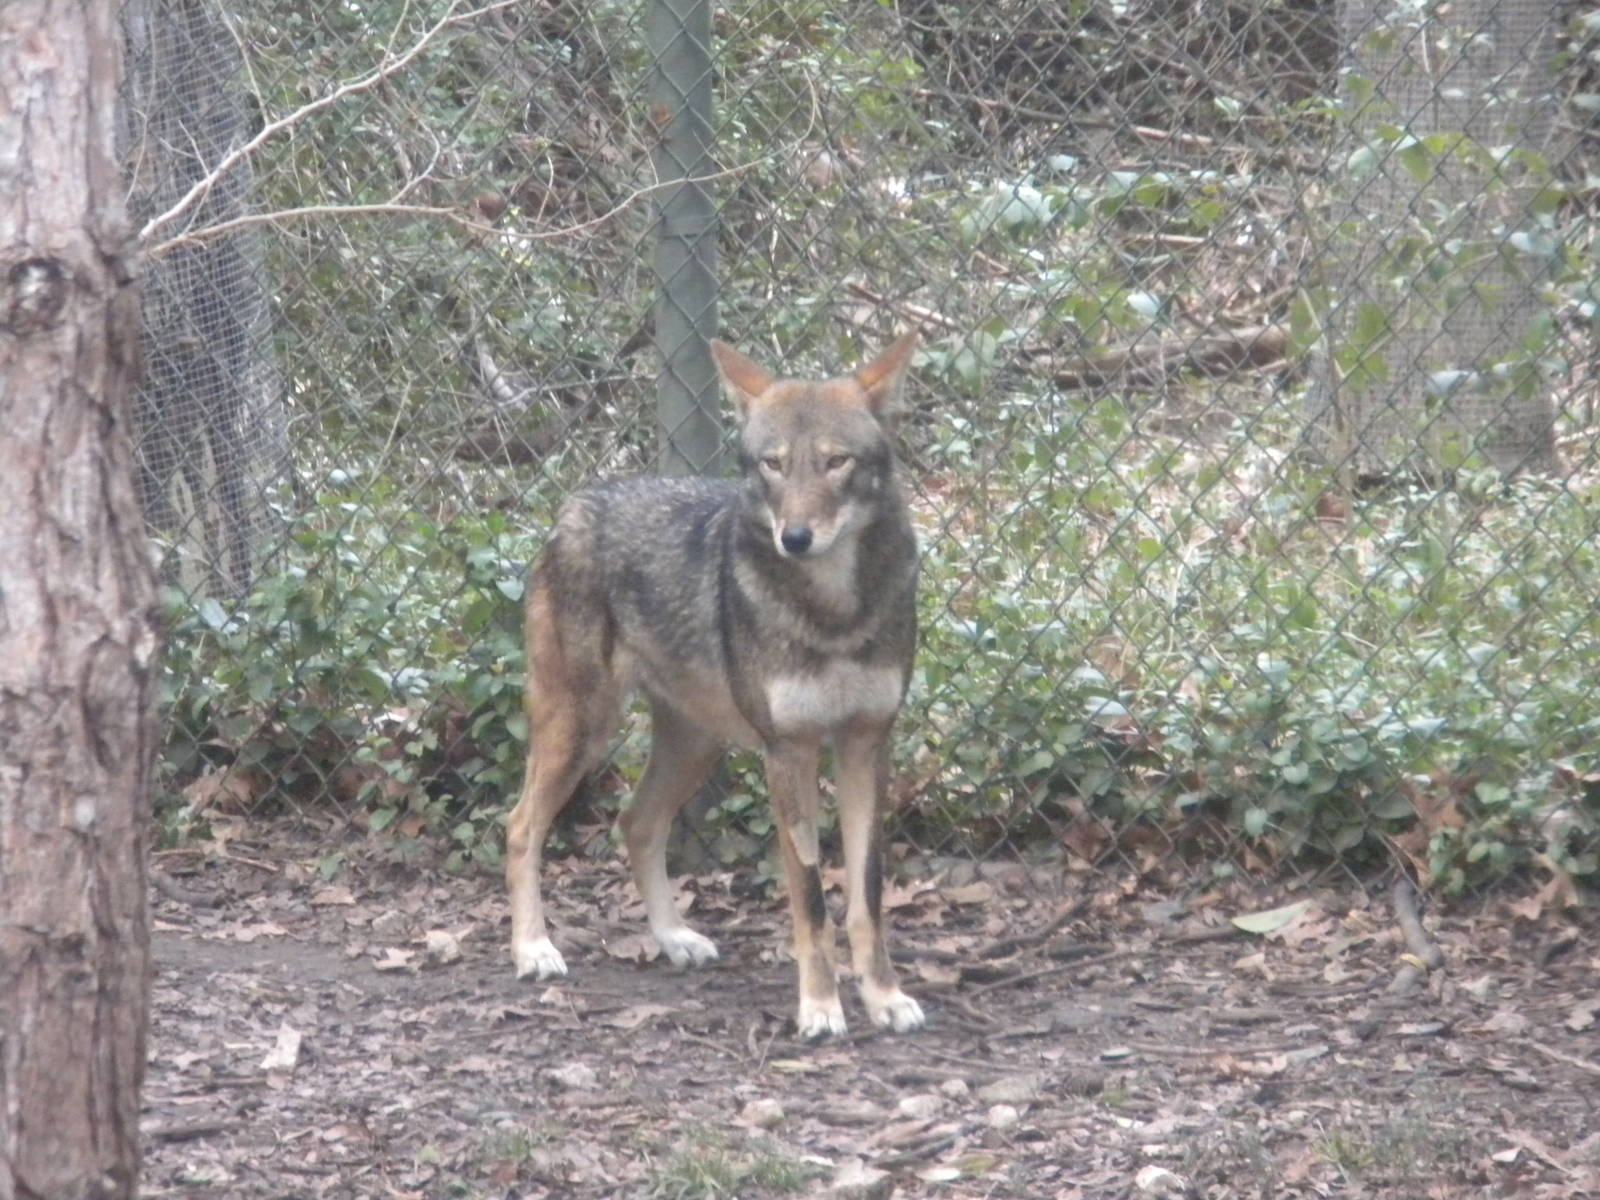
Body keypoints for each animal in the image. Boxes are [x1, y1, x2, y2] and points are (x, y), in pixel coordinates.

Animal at [504, 331, 925, 1038]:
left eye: (835, 462)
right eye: (773, 465)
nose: (795, 538)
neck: (835, 612)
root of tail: (577, 504)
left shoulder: (868, 744)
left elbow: (865, 894)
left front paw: (884, 998)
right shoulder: (790, 753)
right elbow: (811, 899)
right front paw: (820, 1008)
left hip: (695, 746)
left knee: (636, 823)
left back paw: (674, 938)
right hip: (582, 731)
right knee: (520, 825)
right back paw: (533, 948)